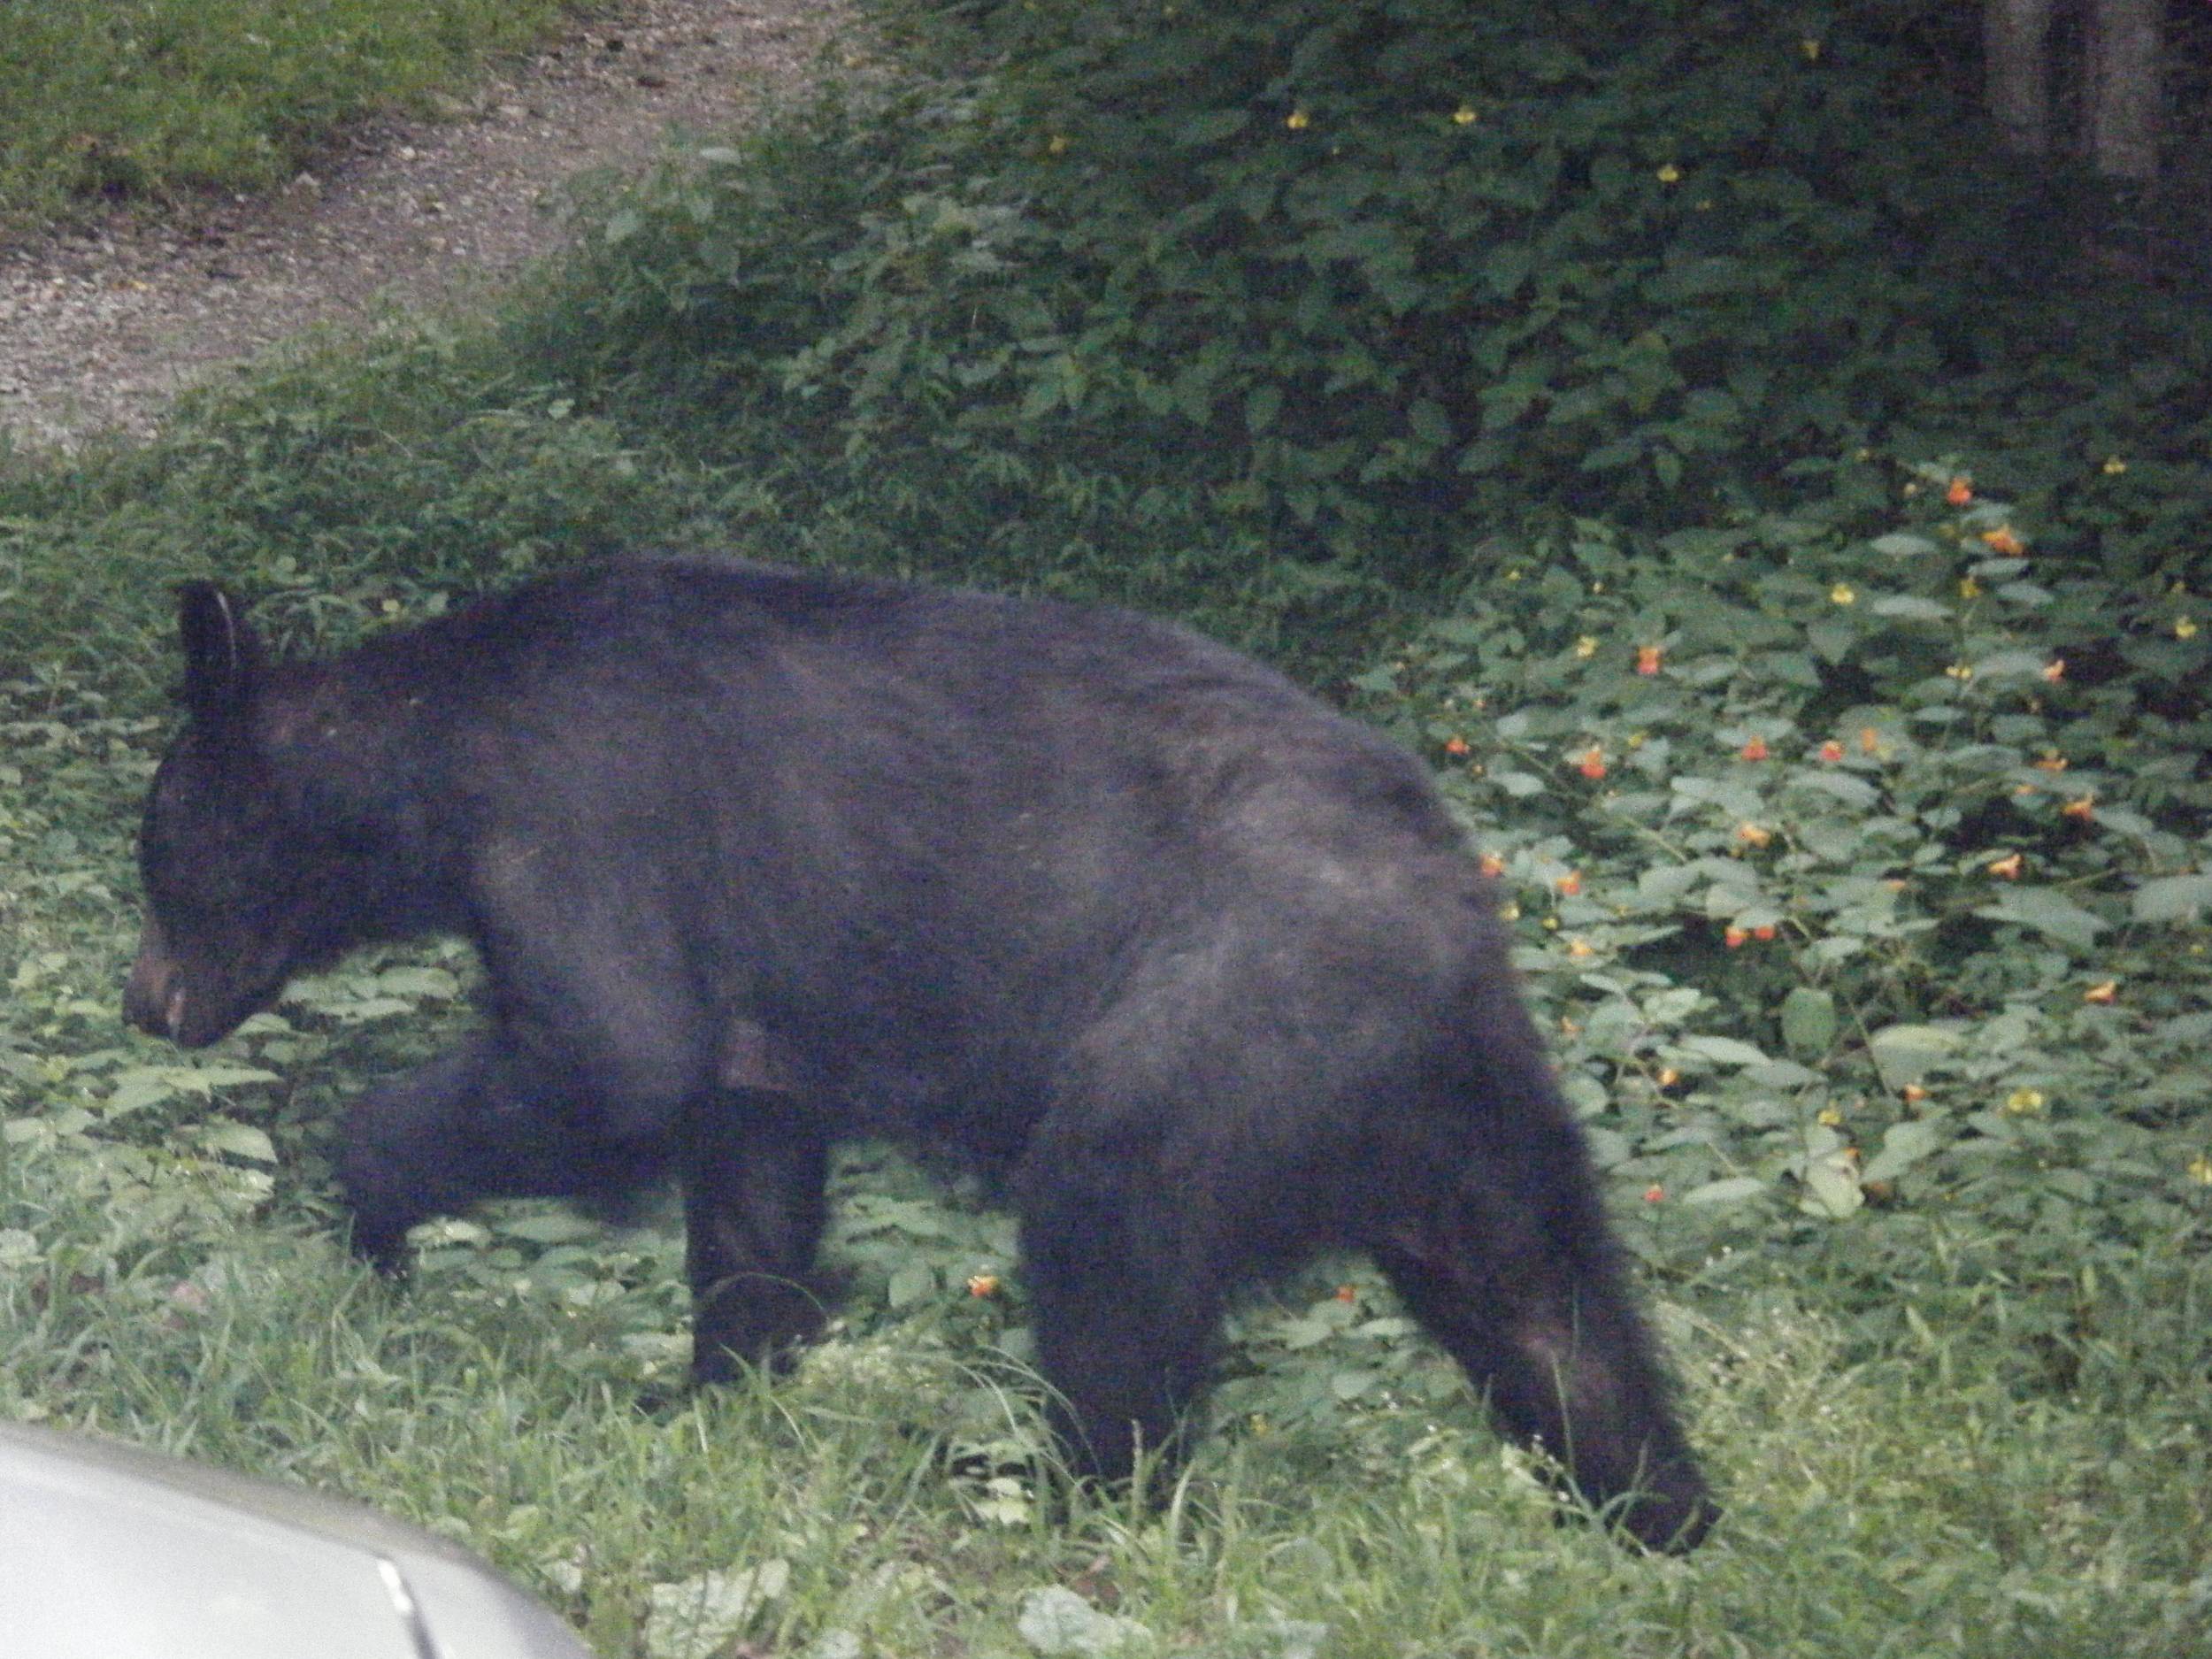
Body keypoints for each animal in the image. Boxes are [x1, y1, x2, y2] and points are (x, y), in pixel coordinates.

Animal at [120, 562, 1717, 1557]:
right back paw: (1664, 1517)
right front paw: (717, 1387)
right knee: (1553, 1315)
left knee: (1109, 1239)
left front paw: (370, 1207)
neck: (435, 757)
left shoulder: (580, 830)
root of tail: (1453, 912)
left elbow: (613, 1056)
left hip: (1216, 1028)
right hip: (1465, 1117)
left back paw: (1061, 1491)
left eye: (153, 855)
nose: (144, 1003)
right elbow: (746, 1174)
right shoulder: (756, 1002)